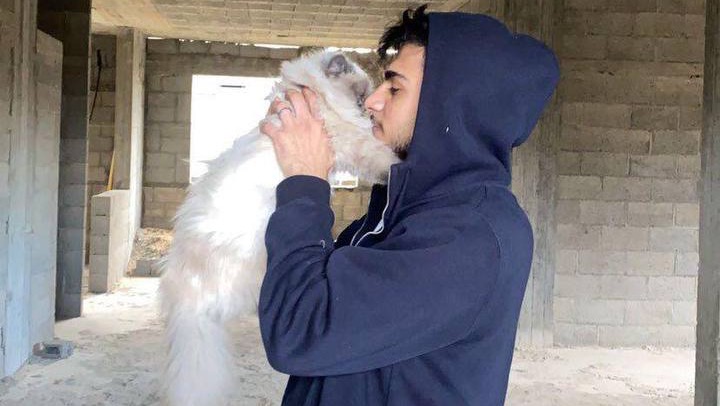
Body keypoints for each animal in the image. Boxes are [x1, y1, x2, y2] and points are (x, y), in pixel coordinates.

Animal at [158, 50, 399, 406]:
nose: (369, 113)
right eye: (360, 99)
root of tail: (187, 294)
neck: (314, 94)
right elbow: (385, 159)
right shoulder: (354, 144)